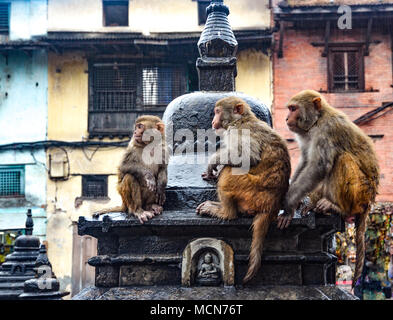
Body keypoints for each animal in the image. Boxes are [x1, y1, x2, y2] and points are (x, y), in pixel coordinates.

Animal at [194, 96, 290, 284]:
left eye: (217, 112)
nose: (213, 121)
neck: (241, 120)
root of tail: (271, 206)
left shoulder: (238, 132)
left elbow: (247, 157)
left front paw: (213, 162)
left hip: (249, 191)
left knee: (230, 171)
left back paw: (225, 212)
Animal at [280, 90, 378, 288]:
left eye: (293, 109)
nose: (287, 118)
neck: (317, 120)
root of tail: (369, 201)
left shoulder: (327, 130)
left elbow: (318, 166)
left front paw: (288, 205)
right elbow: (305, 161)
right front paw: (297, 200)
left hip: (361, 193)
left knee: (342, 159)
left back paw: (338, 207)